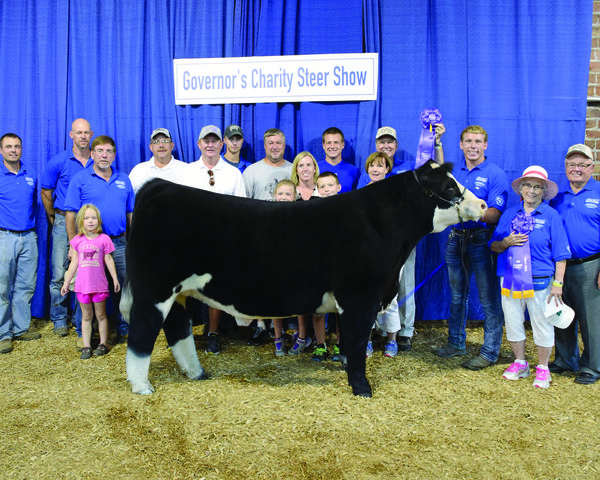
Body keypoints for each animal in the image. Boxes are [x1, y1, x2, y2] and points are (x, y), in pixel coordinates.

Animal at [121, 160, 486, 397]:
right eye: (449, 187)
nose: (482, 204)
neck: (383, 226)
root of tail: (159, 187)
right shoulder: (360, 296)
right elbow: (357, 342)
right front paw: (362, 388)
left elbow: (349, 341)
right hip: (153, 290)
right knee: (141, 334)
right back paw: (142, 387)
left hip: (178, 293)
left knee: (177, 330)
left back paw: (196, 373)